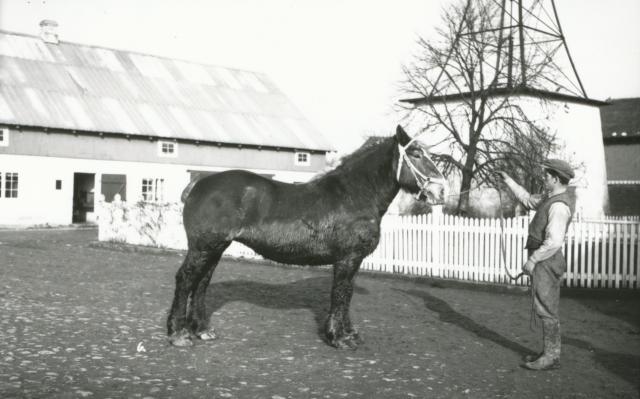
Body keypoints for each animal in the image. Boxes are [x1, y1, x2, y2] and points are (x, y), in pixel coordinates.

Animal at [166, 125, 444, 350]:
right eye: (416, 154)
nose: (440, 190)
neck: (355, 194)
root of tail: (199, 184)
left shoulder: (353, 261)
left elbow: (348, 293)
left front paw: (348, 333)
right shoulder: (347, 259)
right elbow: (341, 294)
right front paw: (338, 338)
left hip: (215, 248)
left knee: (201, 282)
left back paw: (202, 330)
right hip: (203, 247)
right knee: (186, 279)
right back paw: (178, 334)